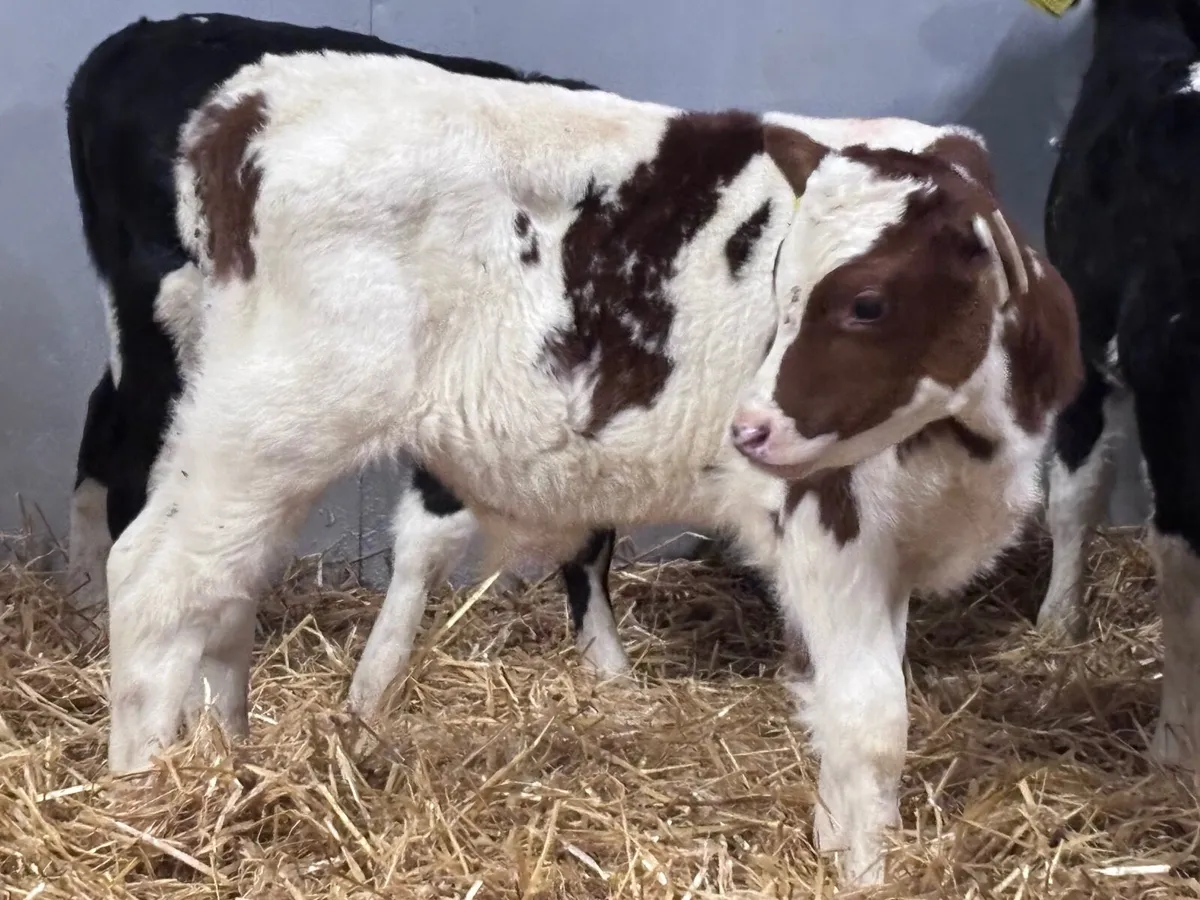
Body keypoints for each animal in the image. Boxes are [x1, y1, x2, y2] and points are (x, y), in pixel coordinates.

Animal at [98, 48, 1081, 887]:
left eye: (867, 303)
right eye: (781, 288)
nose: (749, 431)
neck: (978, 439)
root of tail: (255, 97)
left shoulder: (899, 543)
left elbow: (850, 714)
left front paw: (840, 841)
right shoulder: (826, 523)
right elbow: (872, 723)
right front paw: (863, 872)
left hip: (240, 429)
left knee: (219, 585)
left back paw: (230, 761)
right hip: (270, 420)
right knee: (156, 585)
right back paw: (144, 804)